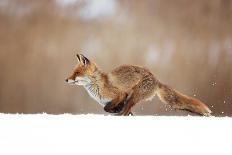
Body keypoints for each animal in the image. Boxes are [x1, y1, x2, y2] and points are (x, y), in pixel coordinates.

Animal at [65, 54, 212, 115]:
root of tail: (156, 79)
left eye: (76, 73)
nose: (66, 80)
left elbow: (107, 108)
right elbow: (112, 109)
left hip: (134, 96)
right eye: (72, 72)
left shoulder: (121, 94)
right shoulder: (117, 99)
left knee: (125, 111)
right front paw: (115, 110)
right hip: (133, 98)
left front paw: (115, 110)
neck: (98, 85)